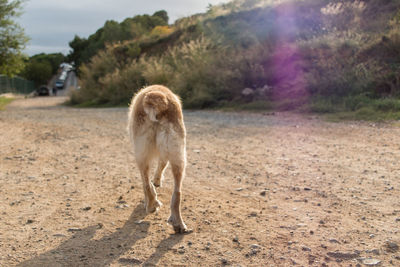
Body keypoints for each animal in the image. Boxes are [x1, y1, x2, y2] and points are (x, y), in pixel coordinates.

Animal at [128, 85, 191, 233]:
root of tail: (156, 96)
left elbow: (146, 183)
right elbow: (161, 165)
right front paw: (157, 181)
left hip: (141, 154)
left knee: (146, 182)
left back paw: (151, 206)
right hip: (178, 155)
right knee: (177, 193)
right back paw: (178, 224)